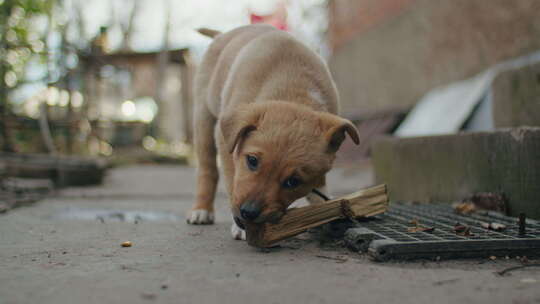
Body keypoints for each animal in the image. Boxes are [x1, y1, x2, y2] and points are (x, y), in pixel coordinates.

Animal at [186, 25, 358, 240]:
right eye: (252, 161)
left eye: (293, 181)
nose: (248, 213)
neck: (292, 90)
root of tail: (222, 34)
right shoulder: (226, 143)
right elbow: (231, 177)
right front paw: (241, 228)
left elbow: (319, 183)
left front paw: (324, 206)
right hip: (203, 117)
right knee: (207, 169)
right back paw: (201, 210)